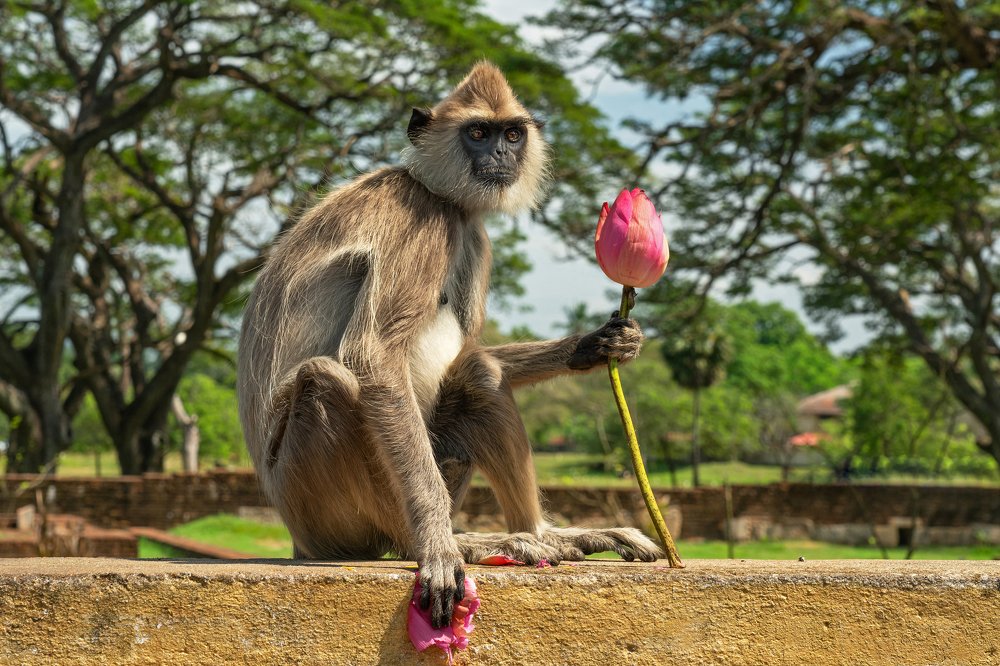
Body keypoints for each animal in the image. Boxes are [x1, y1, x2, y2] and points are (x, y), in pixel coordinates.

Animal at [237, 62, 663, 629]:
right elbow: (373, 356)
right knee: (325, 380)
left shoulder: (472, 231)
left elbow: (472, 354)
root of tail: (294, 534)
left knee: (479, 372)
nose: (500, 155)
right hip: (319, 506)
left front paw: (599, 344)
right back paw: (451, 543)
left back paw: (543, 534)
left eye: (511, 134)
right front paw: (439, 548)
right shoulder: (423, 216)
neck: (436, 190)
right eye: (477, 133)